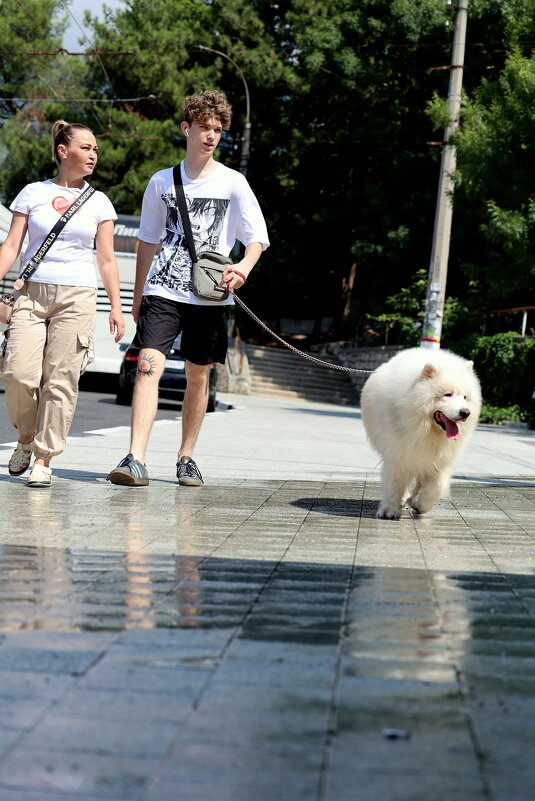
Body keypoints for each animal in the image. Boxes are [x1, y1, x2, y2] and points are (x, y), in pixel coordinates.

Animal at [360, 348, 482, 520]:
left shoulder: (440, 459)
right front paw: (389, 510)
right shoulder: (398, 452)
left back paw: (413, 500)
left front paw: (421, 505)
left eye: (465, 397)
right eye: (447, 394)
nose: (465, 412)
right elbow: (394, 483)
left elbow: (436, 486)